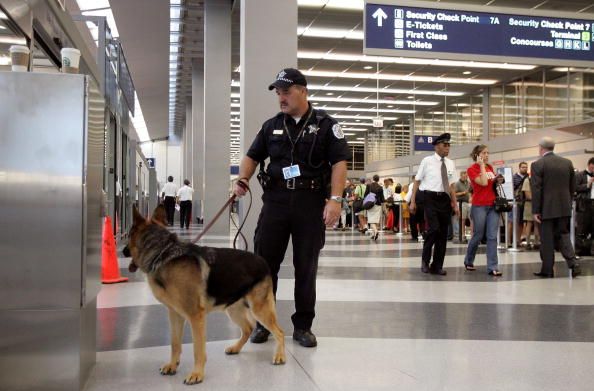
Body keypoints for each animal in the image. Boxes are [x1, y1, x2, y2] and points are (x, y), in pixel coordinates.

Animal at [122, 207, 284, 384]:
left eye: (129, 236)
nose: (123, 251)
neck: (163, 252)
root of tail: (262, 261)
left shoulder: (195, 317)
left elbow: (198, 349)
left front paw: (197, 374)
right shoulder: (175, 315)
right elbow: (175, 343)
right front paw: (172, 365)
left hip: (259, 310)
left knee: (279, 332)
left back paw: (280, 356)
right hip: (233, 310)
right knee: (248, 328)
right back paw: (235, 348)